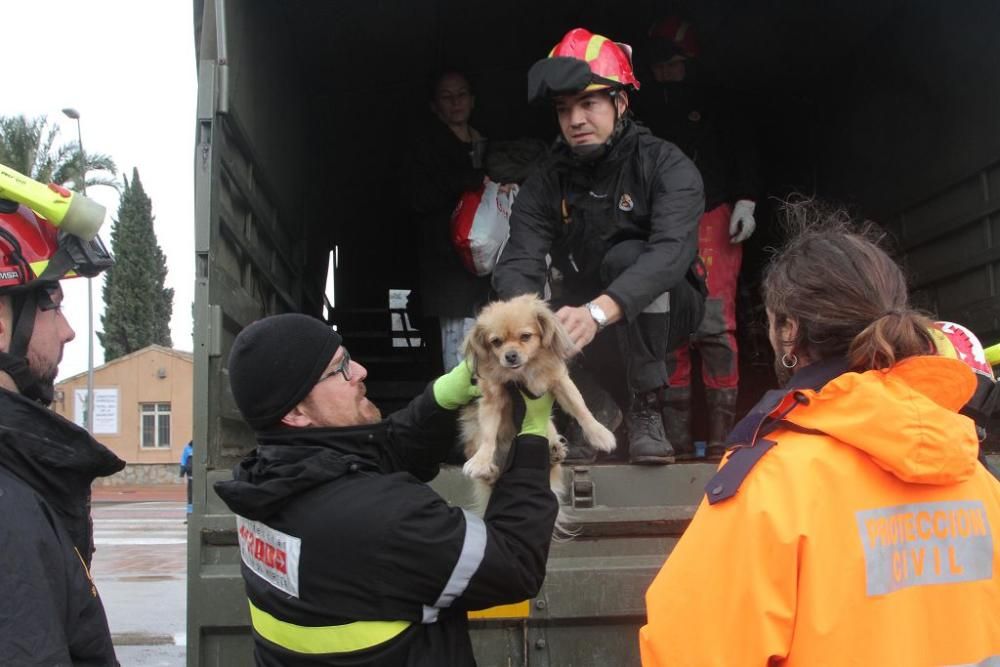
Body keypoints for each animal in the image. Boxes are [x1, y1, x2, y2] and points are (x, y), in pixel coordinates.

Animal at [460, 294, 616, 494]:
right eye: (496, 342)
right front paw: (481, 461)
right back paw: (490, 470)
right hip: (474, 432)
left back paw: (554, 451)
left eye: (525, 337)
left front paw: (600, 433)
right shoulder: (492, 400)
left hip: (549, 427)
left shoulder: (560, 382)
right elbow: (488, 435)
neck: (524, 371)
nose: (510, 355)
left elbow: (581, 409)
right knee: (491, 473)